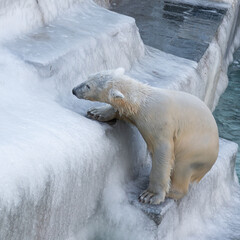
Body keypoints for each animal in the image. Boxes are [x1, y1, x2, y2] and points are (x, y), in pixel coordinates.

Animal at [71, 68, 219, 205]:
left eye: (88, 86)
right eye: (89, 77)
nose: (73, 90)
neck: (143, 102)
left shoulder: (161, 124)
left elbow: (163, 153)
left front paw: (151, 195)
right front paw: (97, 112)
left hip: (196, 151)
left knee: (182, 168)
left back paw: (172, 191)